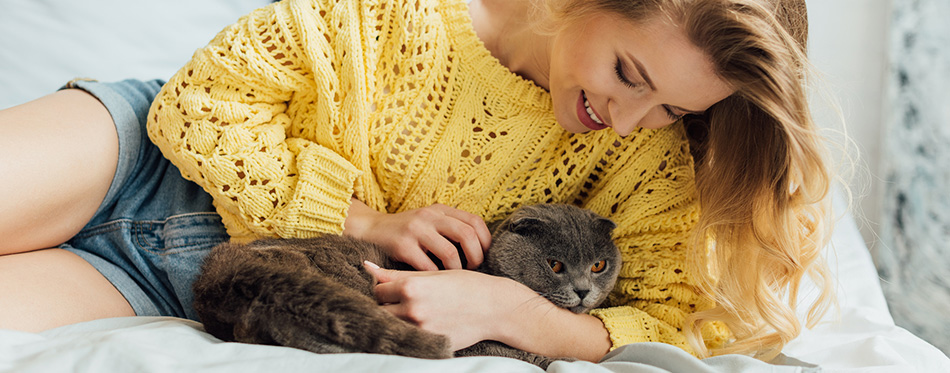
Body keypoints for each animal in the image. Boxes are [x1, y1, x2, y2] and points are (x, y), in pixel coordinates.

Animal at [194, 203, 624, 366]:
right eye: (555, 265)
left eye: (599, 265)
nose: (584, 290)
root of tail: (218, 270)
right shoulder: (476, 342)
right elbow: (519, 353)